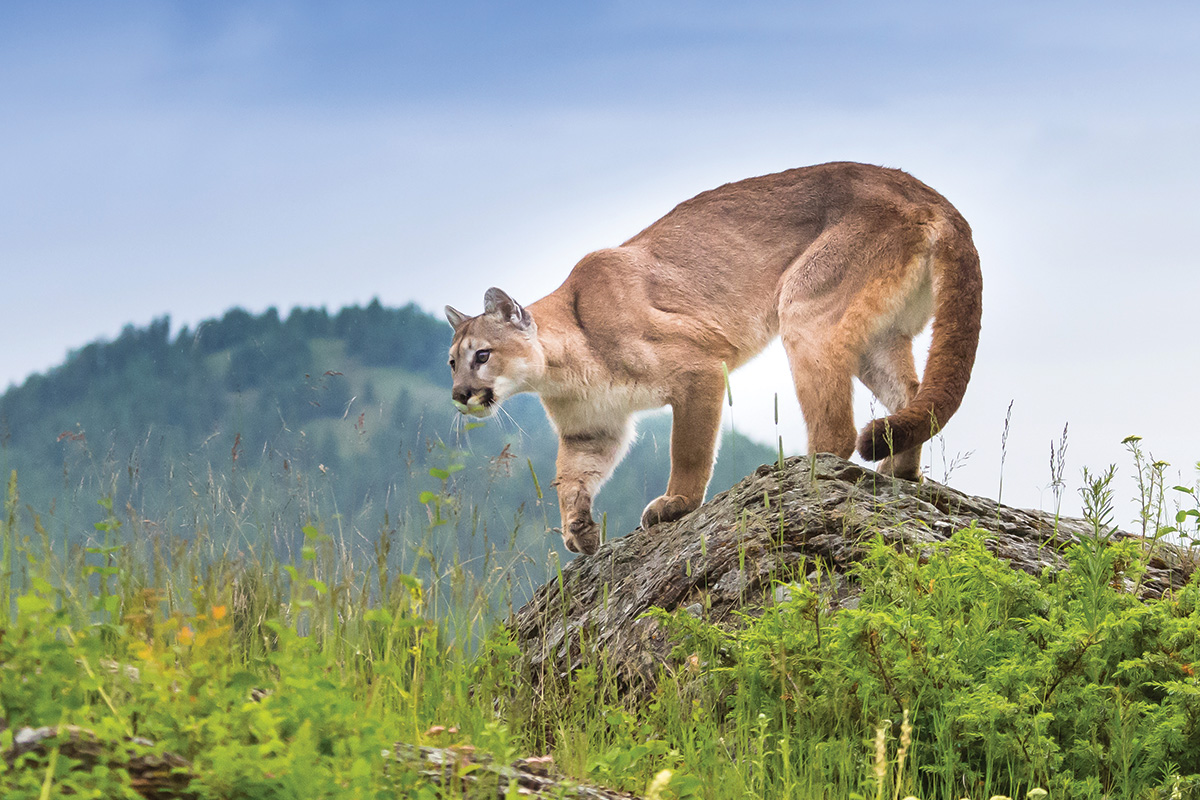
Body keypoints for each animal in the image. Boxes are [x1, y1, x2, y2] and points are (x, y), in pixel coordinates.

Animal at [446, 159, 979, 554]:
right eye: (452, 362)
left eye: (482, 355)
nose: (459, 395)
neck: (562, 368)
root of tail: (930, 194)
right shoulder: (591, 429)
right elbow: (570, 478)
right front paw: (578, 531)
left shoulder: (698, 369)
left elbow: (689, 448)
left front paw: (677, 503)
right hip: (878, 338)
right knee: (913, 396)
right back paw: (898, 471)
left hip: (805, 307)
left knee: (840, 429)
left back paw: (804, 471)